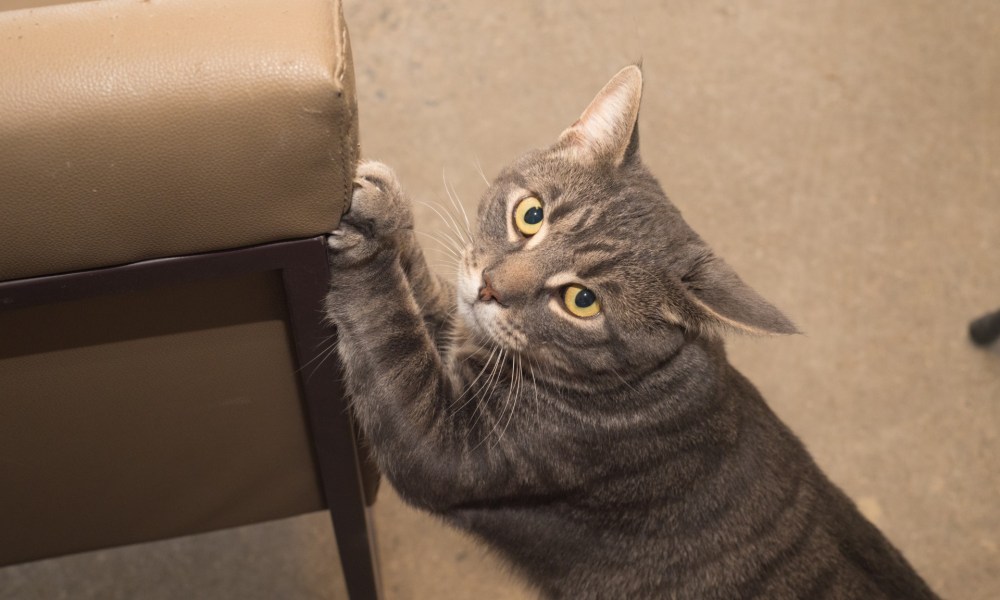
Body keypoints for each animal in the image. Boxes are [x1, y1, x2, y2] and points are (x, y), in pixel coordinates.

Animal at [326, 67, 936, 600]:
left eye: (582, 300)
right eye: (530, 215)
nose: (489, 288)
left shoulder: (451, 444)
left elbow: (390, 332)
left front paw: (370, 237)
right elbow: (424, 298)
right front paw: (388, 205)